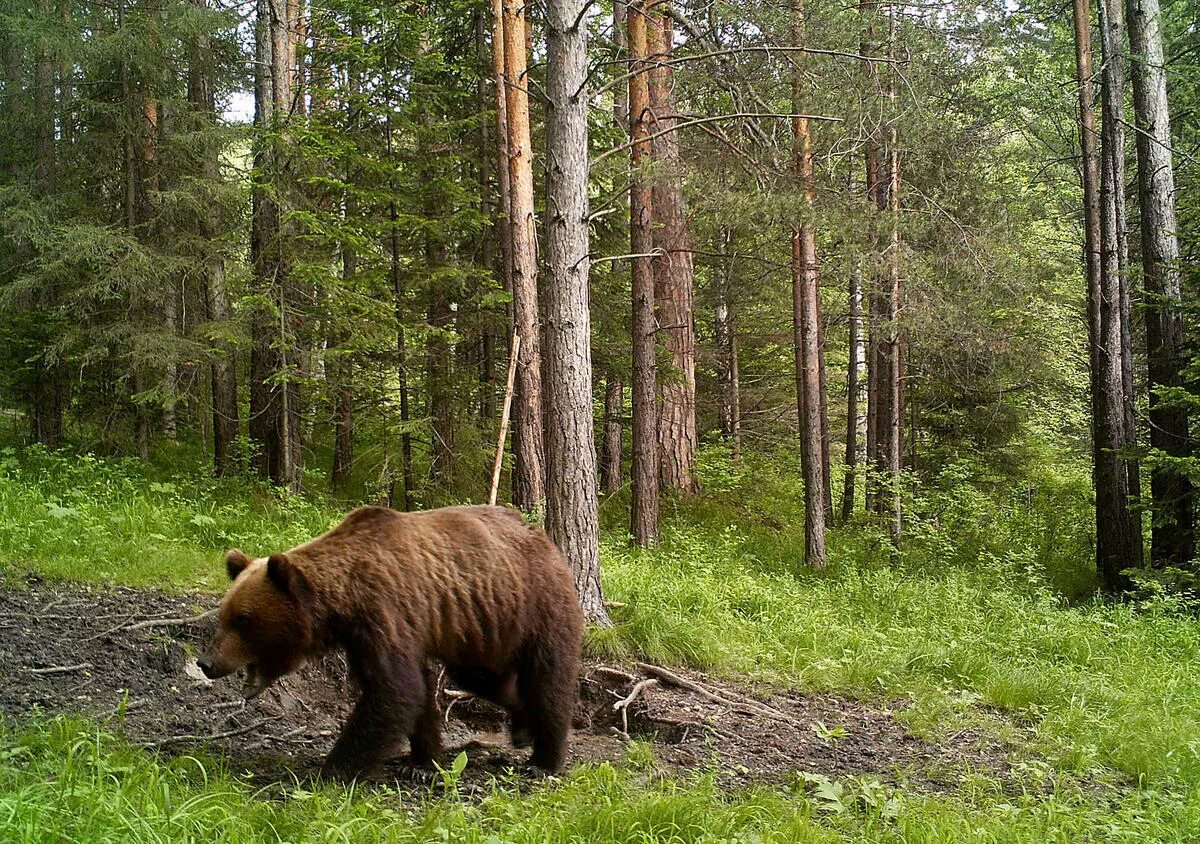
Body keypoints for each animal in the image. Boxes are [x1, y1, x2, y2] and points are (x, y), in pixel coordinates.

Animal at [198, 504, 585, 782]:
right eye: (224, 614)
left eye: (243, 620)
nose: (207, 662)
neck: (344, 600)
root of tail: (545, 539)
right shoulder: (364, 636)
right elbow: (412, 690)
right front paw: (422, 763)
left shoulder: (384, 610)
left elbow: (394, 689)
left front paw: (332, 769)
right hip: (481, 626)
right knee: (485, 678)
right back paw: (522, 727)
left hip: (539, 603)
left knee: (548, 677)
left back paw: (544, 760)